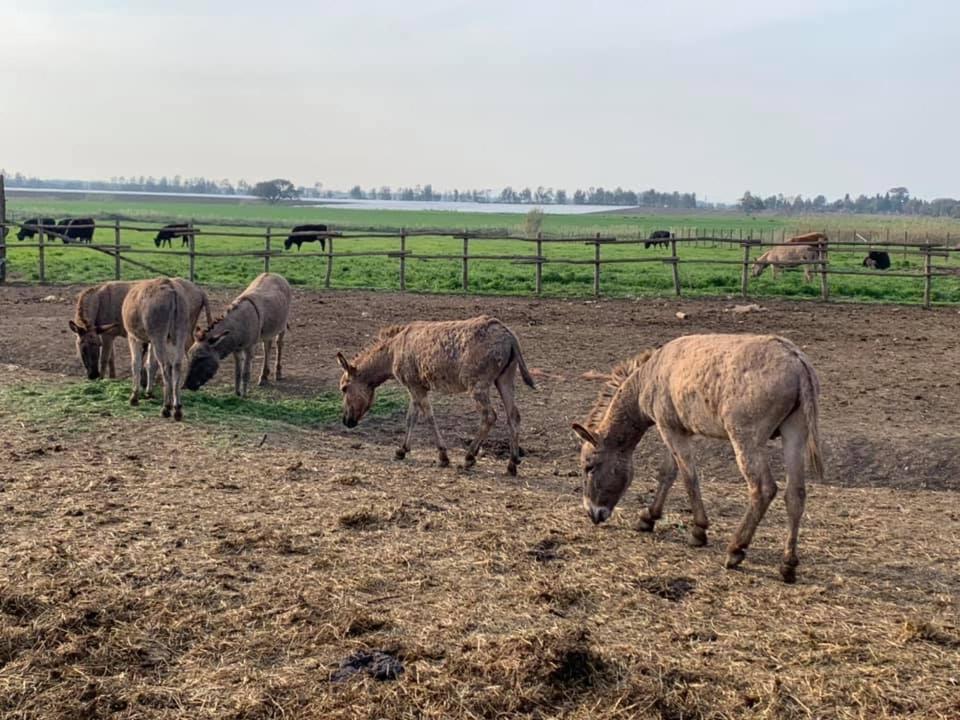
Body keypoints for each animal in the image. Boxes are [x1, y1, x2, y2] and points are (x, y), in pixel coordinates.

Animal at [338, 316, 536, 476]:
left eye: (344, 388)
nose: (346, 420)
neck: (391, 354)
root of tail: (510, 338)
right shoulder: (415, 387)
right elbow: (411, 418)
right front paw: (402, 450)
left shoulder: (416, 386)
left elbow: (428, 417)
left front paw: (443, 455)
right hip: (505, 378)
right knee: (513, 416)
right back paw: (512, 463)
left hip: (477, 385)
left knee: (489, 416)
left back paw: (469, 457)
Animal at [572, 334, 820, 584]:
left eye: (589, 467)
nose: (592, 513)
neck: (648, 376)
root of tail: (797, 362)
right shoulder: (675, 430)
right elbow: (668, 473)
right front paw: (649, 517)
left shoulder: (670, 430)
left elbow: (688, 478)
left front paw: (698, 531)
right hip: (794, 434)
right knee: (795, 495)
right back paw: (787, 565)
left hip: (746, 439)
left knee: (763, 489)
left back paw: (736, 549)